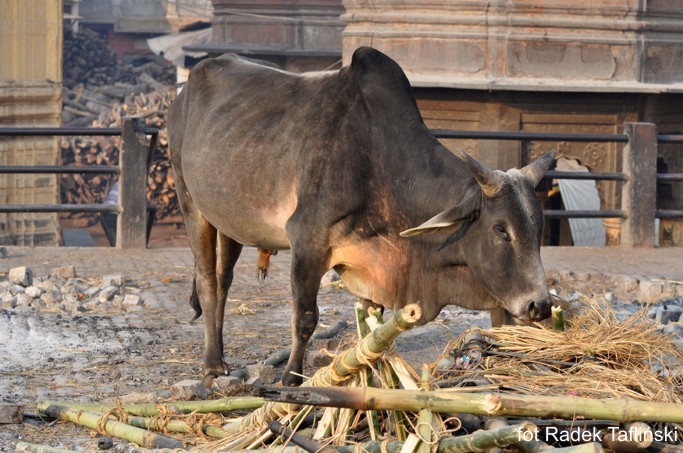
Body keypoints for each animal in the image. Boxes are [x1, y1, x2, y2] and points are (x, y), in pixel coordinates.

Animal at [168, 45, 560, 384]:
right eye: (500, 230)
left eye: (538, 227)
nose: (540, 305)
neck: (376, 156)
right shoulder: (307, 239)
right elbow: (305, 318)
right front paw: (291, 377)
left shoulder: (373, 265)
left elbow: (373, 326)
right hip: (191, 204)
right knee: (207, 282)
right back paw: (212, 365)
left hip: (228, 222)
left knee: (223, 280)